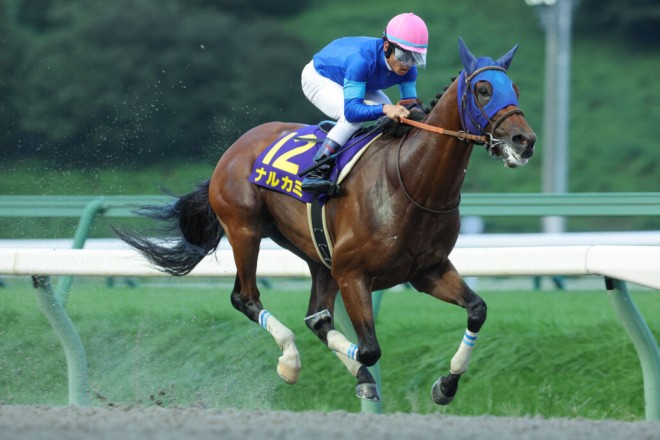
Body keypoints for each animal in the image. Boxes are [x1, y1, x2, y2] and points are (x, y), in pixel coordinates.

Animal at [116, 38, 536, 406]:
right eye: (483, 89)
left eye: (514, 87)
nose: (524, 140)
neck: (411, 181)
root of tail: (235, 147)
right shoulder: (353, 275)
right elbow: (369, 349)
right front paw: (348, 372)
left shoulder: (426, 271)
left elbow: (477, 310)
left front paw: (445, 386)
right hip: (244, 229)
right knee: (246, 297)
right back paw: (289, 361)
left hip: (317, 254)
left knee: (315, 316)